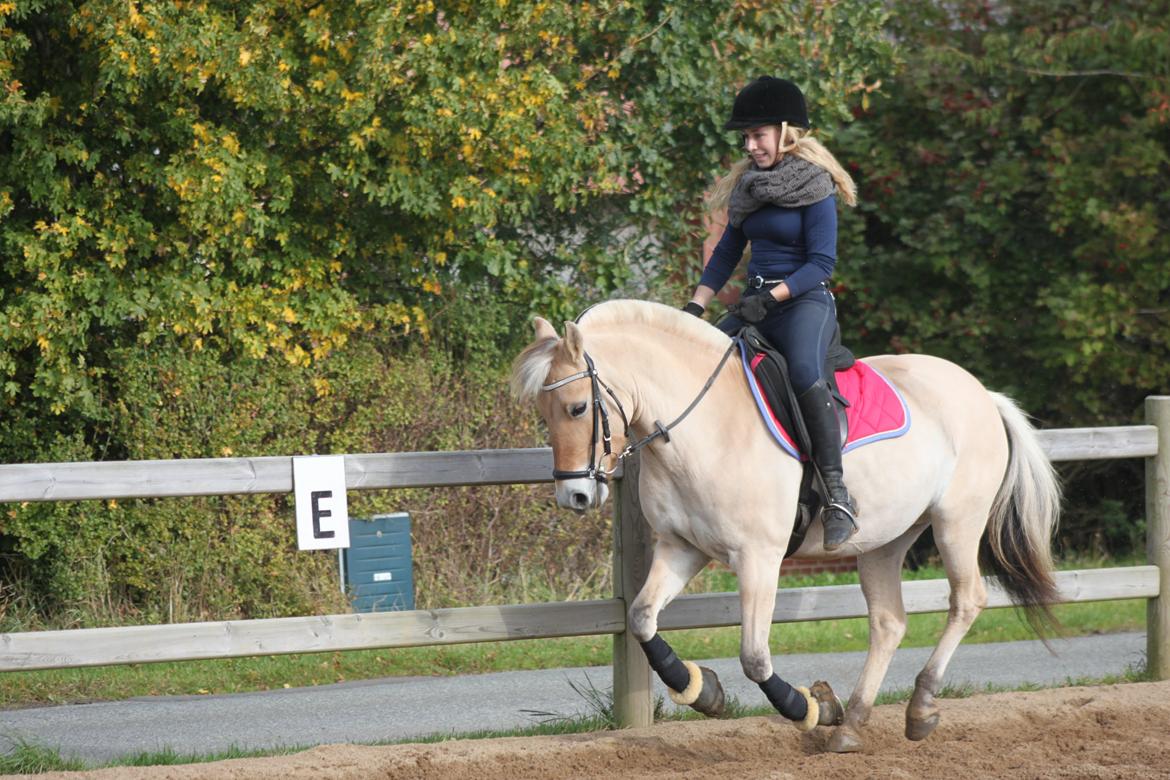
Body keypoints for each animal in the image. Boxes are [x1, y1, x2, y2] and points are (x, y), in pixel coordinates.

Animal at [512, 299, 1062, 748]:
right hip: (884, 541)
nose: (575, 495)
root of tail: (982, 392)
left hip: (956, 522)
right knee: (888, 622)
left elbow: (755, 656)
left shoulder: (759, 557)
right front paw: (704, 691)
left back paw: (920, 708)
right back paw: (851, 725)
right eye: (543, 411)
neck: (706, 426)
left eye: (576, 408)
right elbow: (641, 618)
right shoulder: (681, 548)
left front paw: (810, 709)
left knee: (967, 600)